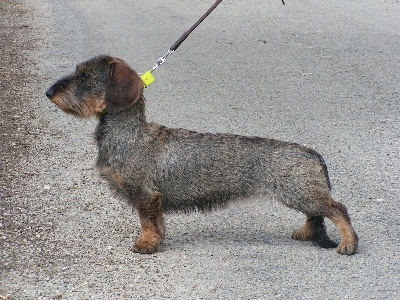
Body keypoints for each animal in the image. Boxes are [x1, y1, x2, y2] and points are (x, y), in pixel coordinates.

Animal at [45, 55, 358, 254]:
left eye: (85, 77)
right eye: (78, 72)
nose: (48, 92)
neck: (130, 135)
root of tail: (311, 153)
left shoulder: (145, 195)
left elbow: (146, 222)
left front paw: (146, 244)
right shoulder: (154, 199)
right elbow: (157, 222)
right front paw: (158, 240)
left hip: (300, 193)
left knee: (338, 209)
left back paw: (348, 244)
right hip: (300, 194)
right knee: (317, 214)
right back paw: (306, 233)